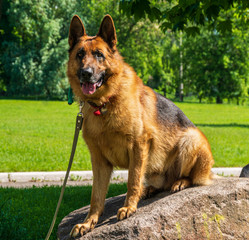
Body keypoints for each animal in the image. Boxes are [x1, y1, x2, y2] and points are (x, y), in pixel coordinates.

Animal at [68, 14, 214, 236]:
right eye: (80, 54)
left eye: (99, 55)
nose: (86, 72)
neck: (105, 104)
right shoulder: (99, 161)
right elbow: (96, 196)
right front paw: (88, 222)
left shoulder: (138, 146)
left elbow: (133, 180)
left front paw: (129, 206)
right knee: (161, 184)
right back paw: (151, 189)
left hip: (191, 140)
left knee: (192, 178)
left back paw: (180, 182)